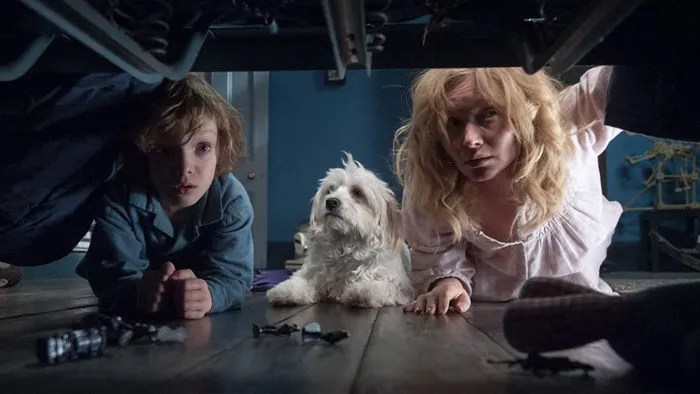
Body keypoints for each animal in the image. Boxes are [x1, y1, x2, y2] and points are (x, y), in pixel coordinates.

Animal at [266, 152, 412, 306]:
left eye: (357, 192)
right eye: (330, 190)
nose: (331, 202)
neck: (344, 243)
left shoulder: (401, 286)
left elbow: (379, 286)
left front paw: (361, 290)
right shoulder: (312, 274)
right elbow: (300, 281)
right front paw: (284, 290)